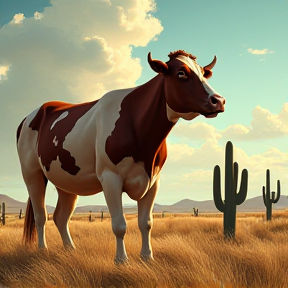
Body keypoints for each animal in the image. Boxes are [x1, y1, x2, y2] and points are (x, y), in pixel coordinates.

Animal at [16, 50, 225, 264]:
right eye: (181, 73)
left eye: (204, 73)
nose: (218, 100)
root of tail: (33, 113)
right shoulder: (110, 178)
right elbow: (119, 225)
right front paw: (121, 261)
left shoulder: (153, 180)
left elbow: (146, 223)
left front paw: (147, 257)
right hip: (32, 174)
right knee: (41, 215)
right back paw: (43, 250)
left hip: (67, 180)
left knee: (61, 216)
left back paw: (70, 250)